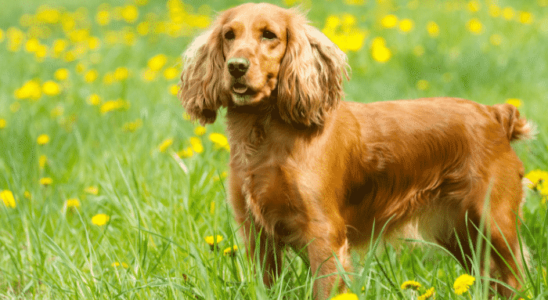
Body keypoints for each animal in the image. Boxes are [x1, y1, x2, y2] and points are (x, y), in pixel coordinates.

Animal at [179, 2, 532, 298]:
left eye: (269, 35)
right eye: (229, 35)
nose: (236, 66)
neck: (265, 136)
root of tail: (495, 114)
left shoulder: (324, 234)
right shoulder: (256, 232)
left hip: (494, 222)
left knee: (515, 277)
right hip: (460, 233)